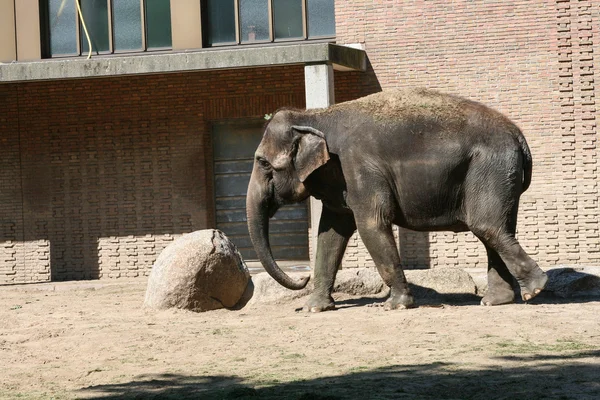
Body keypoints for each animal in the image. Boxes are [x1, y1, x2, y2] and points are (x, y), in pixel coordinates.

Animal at [245, 88, 548, 312]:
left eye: (263, 163)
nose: (302, 276)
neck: (316, 116)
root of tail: (520, 137)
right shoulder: (339, 180)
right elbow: (330, 233)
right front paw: (314, 308)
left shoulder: (358, 167)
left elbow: (371, 224)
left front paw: (395, 305)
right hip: (500, 175)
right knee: (496, 228)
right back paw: (496, 301)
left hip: (490, 169)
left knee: (487, 226)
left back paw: (535, 290)